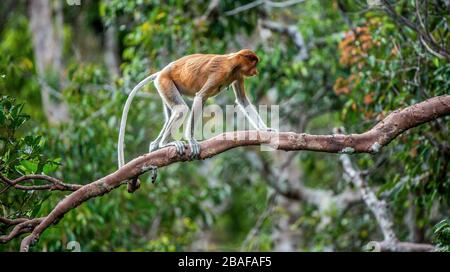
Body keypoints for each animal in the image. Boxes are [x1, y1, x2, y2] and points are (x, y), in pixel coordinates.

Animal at [118, 50, 274, 184]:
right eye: (254, 64)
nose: (256, 72)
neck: (234, 61)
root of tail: (161, 72)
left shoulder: (238, 75)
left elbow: (243, 101)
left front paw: (266, 130)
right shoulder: (222, 72)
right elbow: (200, 97)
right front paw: (192, 141)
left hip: (164, 87)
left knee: (171, 115)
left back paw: (154, 148)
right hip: (165, 82)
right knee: (181, 109)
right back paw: (164, 144)